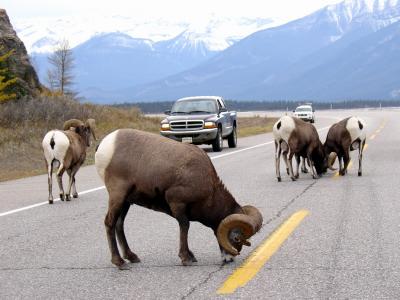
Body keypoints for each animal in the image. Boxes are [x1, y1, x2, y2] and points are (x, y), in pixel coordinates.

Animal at [94, 129, 262, 270]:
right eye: (237, 238)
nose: (229, 259)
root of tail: (105, 145)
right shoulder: (177, 204)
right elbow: (185, 227)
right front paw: (186, 258)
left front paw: (191, 256)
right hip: (118, 196)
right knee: (110, 223)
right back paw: (119, 262)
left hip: (126, 201)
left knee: (119, 224)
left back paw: (132, 257)